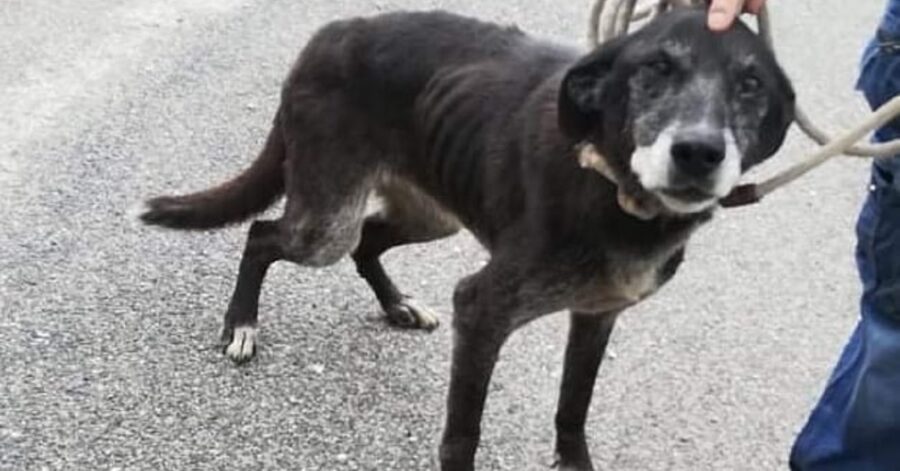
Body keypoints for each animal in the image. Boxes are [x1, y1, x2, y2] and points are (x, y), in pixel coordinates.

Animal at [141, 8, 796, 471]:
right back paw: (241, 324)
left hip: (432, 213)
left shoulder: (597, 315)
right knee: (263, 235)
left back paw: (398, 305)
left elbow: (573, 407)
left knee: (368, 241)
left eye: (751, 84)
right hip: (325, 222)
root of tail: (329, 34)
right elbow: (463, 431)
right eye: (655, 68)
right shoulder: (482, 310)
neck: (611, 186)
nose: (699, 152)